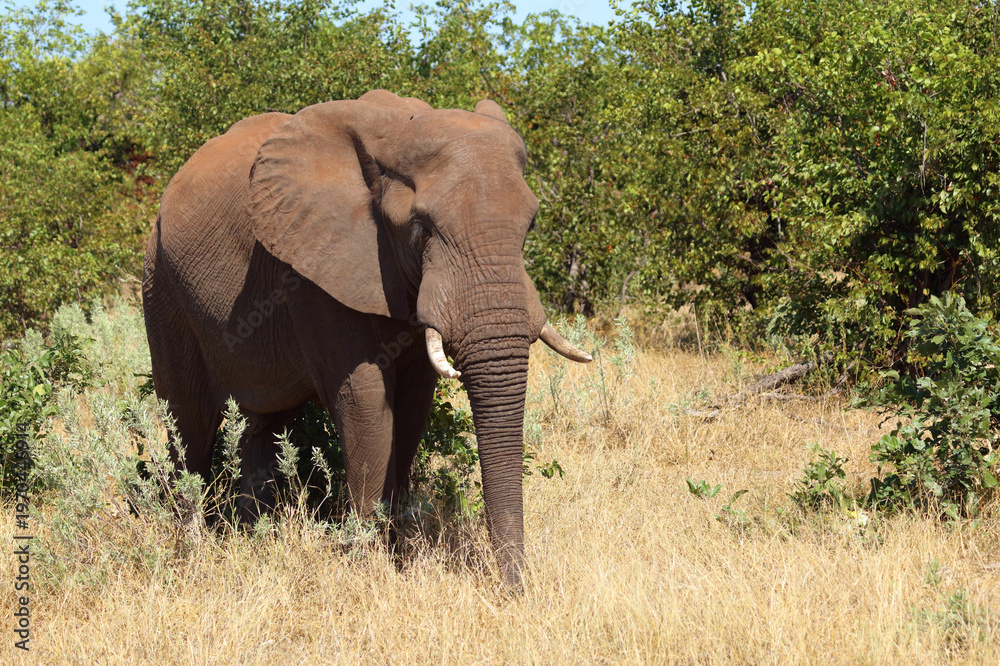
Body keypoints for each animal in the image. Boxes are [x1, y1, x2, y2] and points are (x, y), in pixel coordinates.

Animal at [142, 89, 591, 589]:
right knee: (189, 422)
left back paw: (253, 538)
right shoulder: (314, 271)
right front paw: (369, 565)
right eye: (421, 228)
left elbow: (412, 405)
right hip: (162, 286)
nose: (514, 591)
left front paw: (399, 555)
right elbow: (365, 400)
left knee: (265, 424)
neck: (396, 131)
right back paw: (190, 550)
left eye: (530, 225)